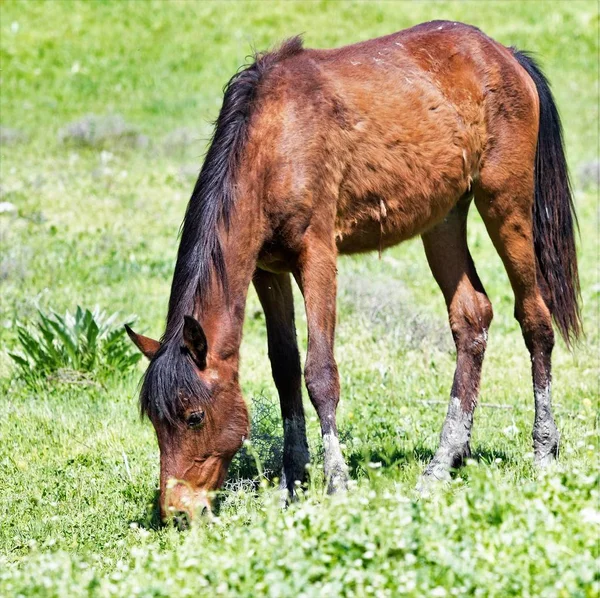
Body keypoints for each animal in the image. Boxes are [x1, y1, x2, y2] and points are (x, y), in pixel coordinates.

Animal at [126, 21, 580, 524]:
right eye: (156, 423)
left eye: (194, 417)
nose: (177, 512)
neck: (273, 140)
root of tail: (505, 55)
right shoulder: (268, 270)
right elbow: (285, 370)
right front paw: (292, 481)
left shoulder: (317, 256)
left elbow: (319, 373)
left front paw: (336, 484)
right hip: (443, 219)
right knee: (472, 318)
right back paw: (445, 462)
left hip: (505, 202)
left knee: (535, 320)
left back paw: (543, 452)